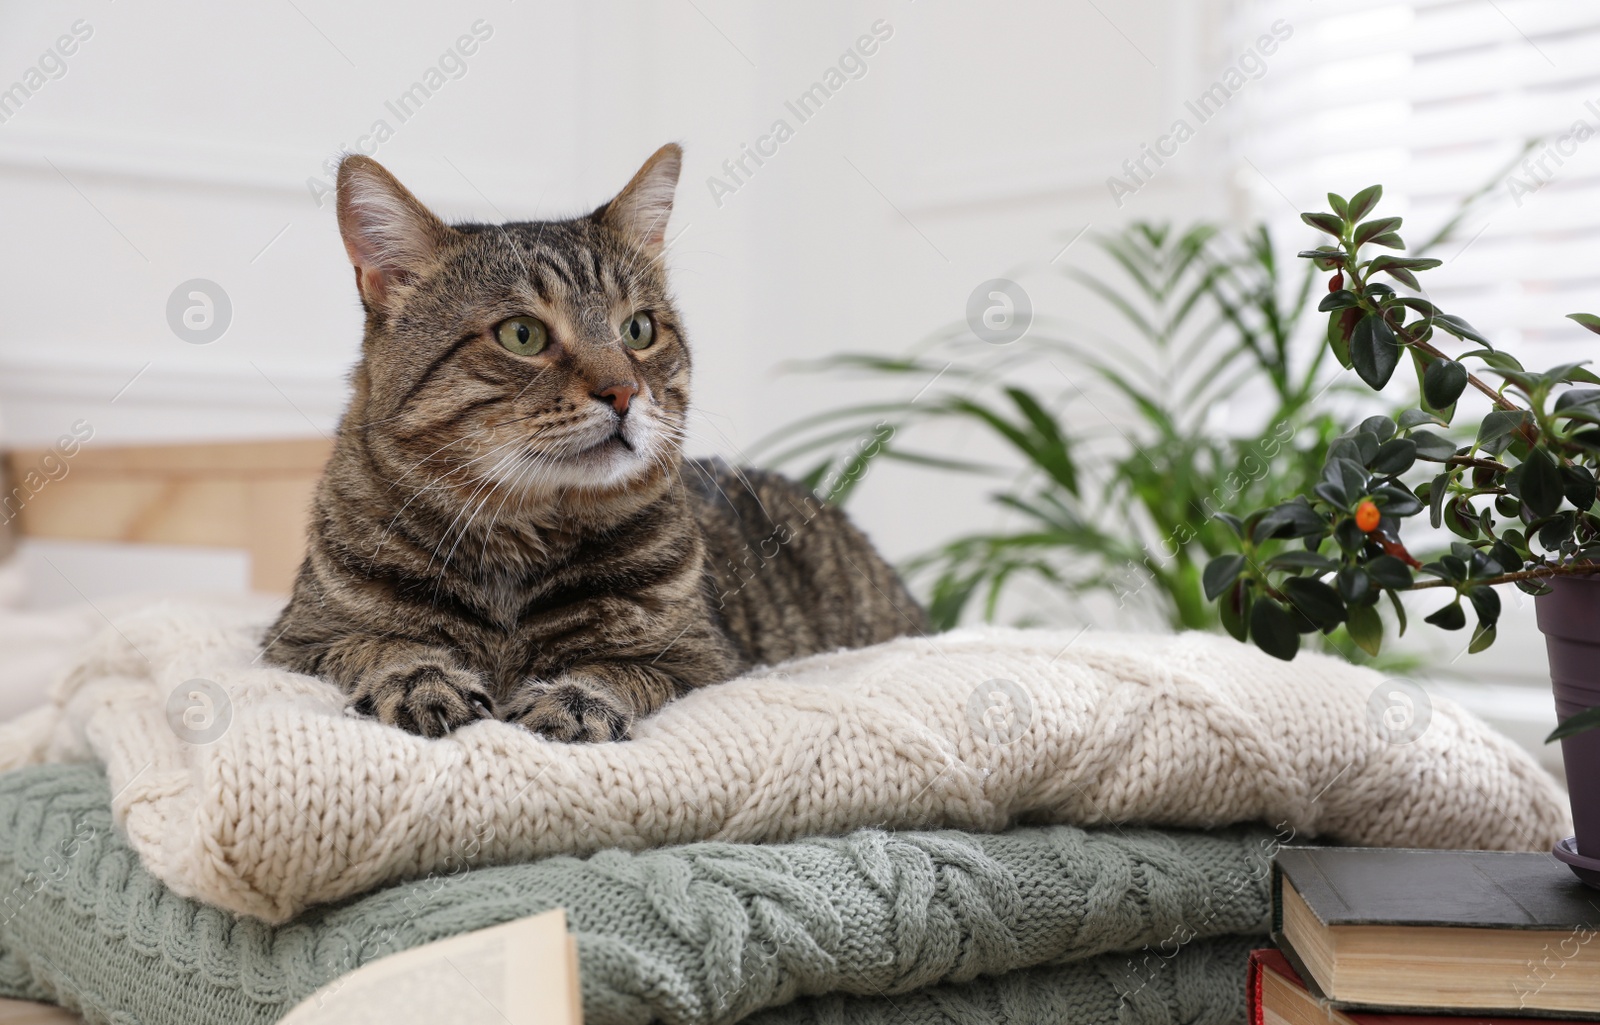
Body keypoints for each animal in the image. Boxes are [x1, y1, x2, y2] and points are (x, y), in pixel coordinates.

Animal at [256, 142, 921, 735]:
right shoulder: (294, 644)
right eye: (521, 334)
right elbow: (381, 644)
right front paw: (420, 679)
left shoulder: (706, 663)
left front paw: (574, 700)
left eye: (639, 330)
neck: (517, 538)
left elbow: (619, 670)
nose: (624, 391)